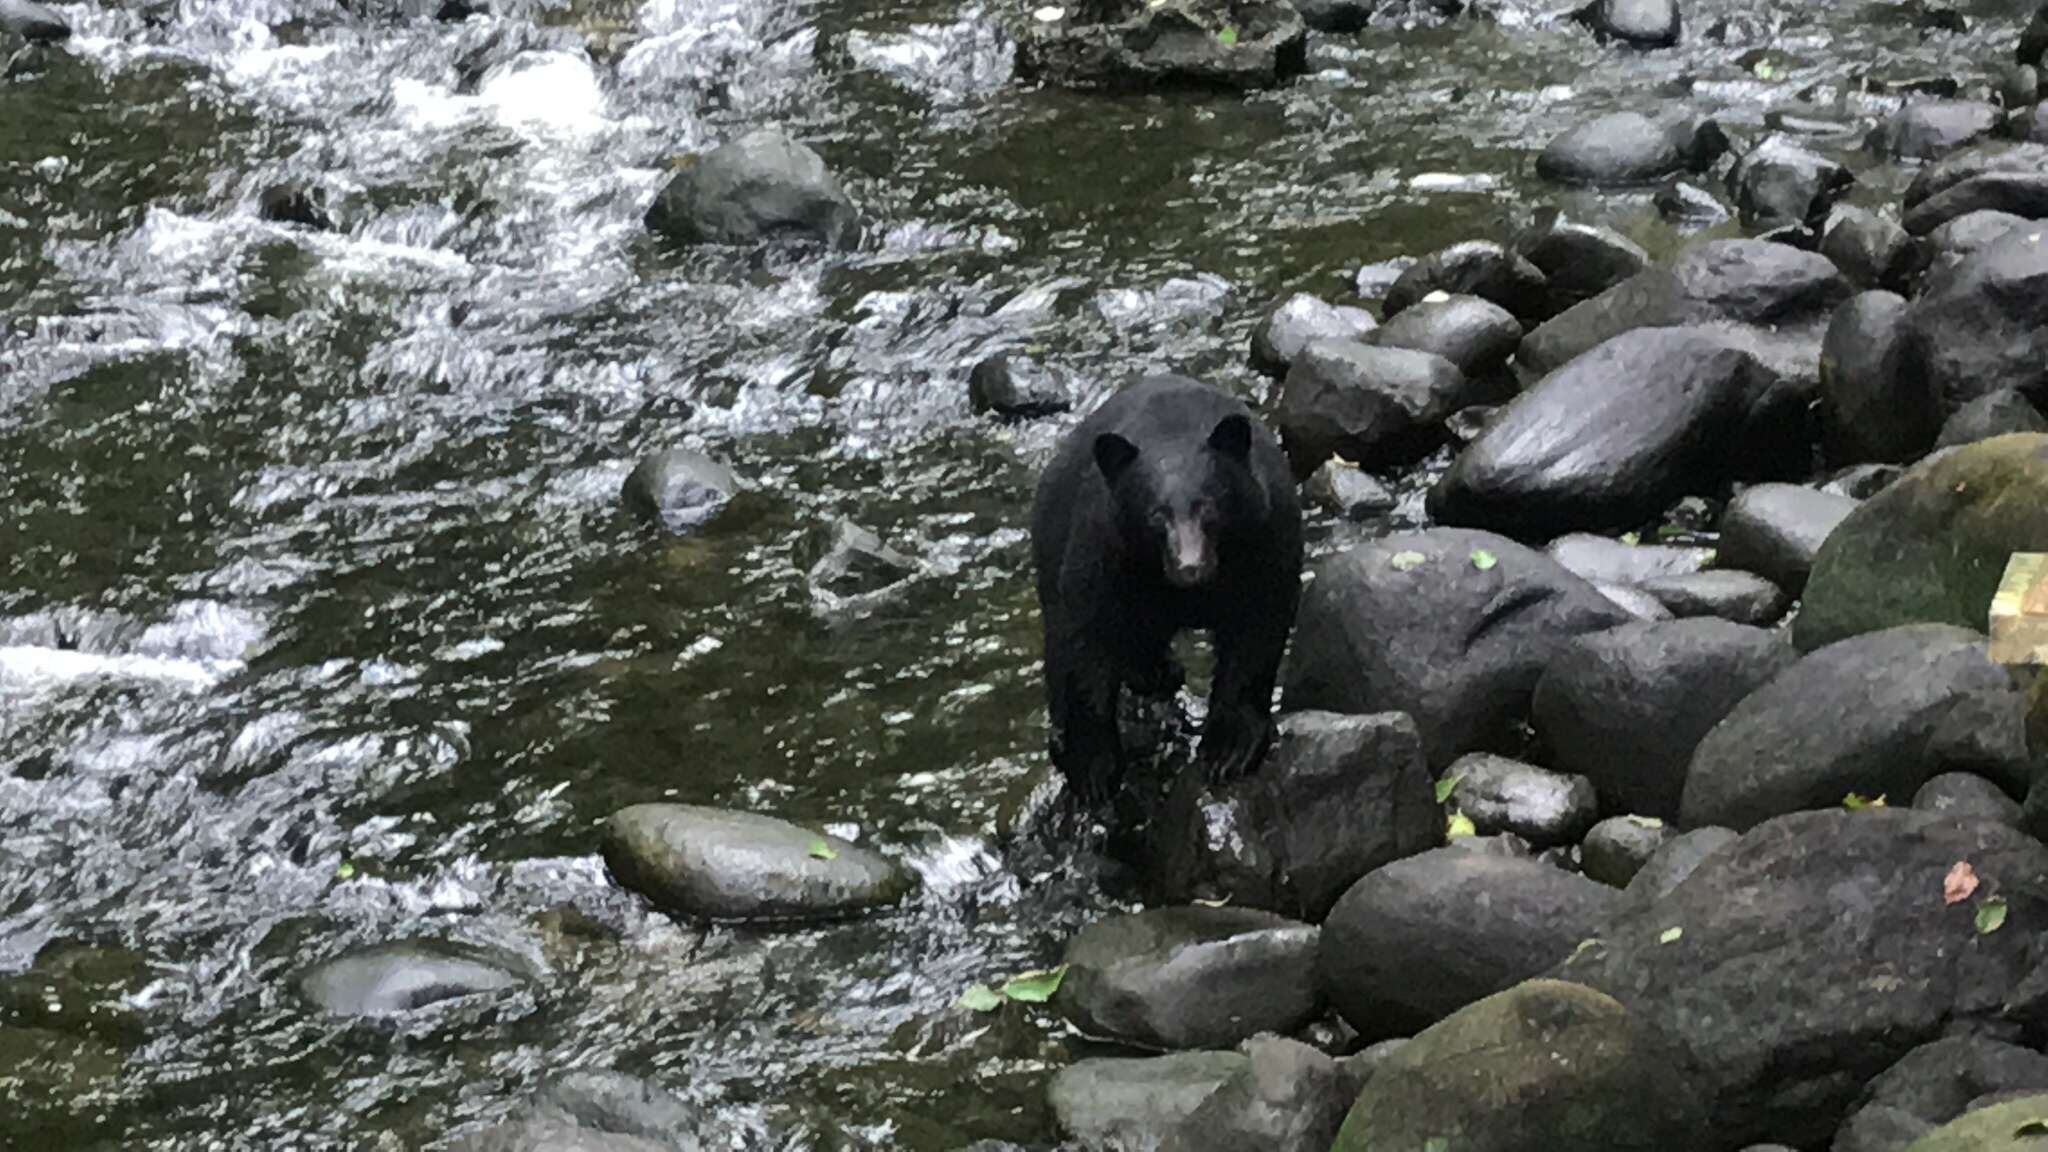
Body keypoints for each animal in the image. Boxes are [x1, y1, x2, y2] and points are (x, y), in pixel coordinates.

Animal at [1032, 373, 1302, 803]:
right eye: (1156, 515)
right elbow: (1084, 638)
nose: (1189, 567)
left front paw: (1228, 752)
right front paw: (1091, 769)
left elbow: (1256, 629)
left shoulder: (1265, 538)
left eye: (1208, 505)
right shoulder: (1105, 547)